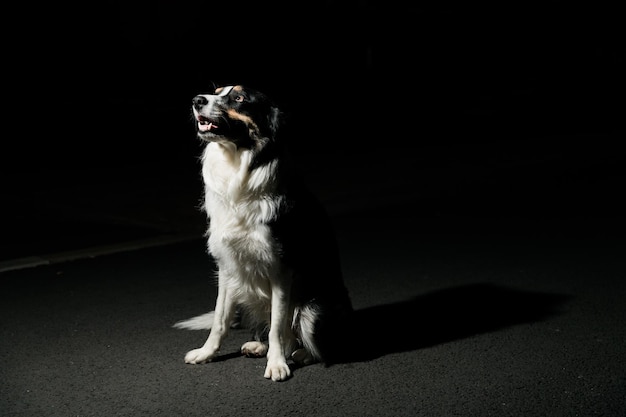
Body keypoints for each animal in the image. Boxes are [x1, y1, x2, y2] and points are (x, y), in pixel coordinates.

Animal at [173, 84, 354, 380]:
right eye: (216, 91)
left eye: (238, 98)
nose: (196, 100)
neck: (237, 163)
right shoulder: (227, 266)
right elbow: (220, 320)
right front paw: (206, 353)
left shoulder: (281, 268)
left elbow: (278, 325)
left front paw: (278, 364)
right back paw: (258, 346)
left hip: (315, 308)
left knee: (318, 346)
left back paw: (299, 353)